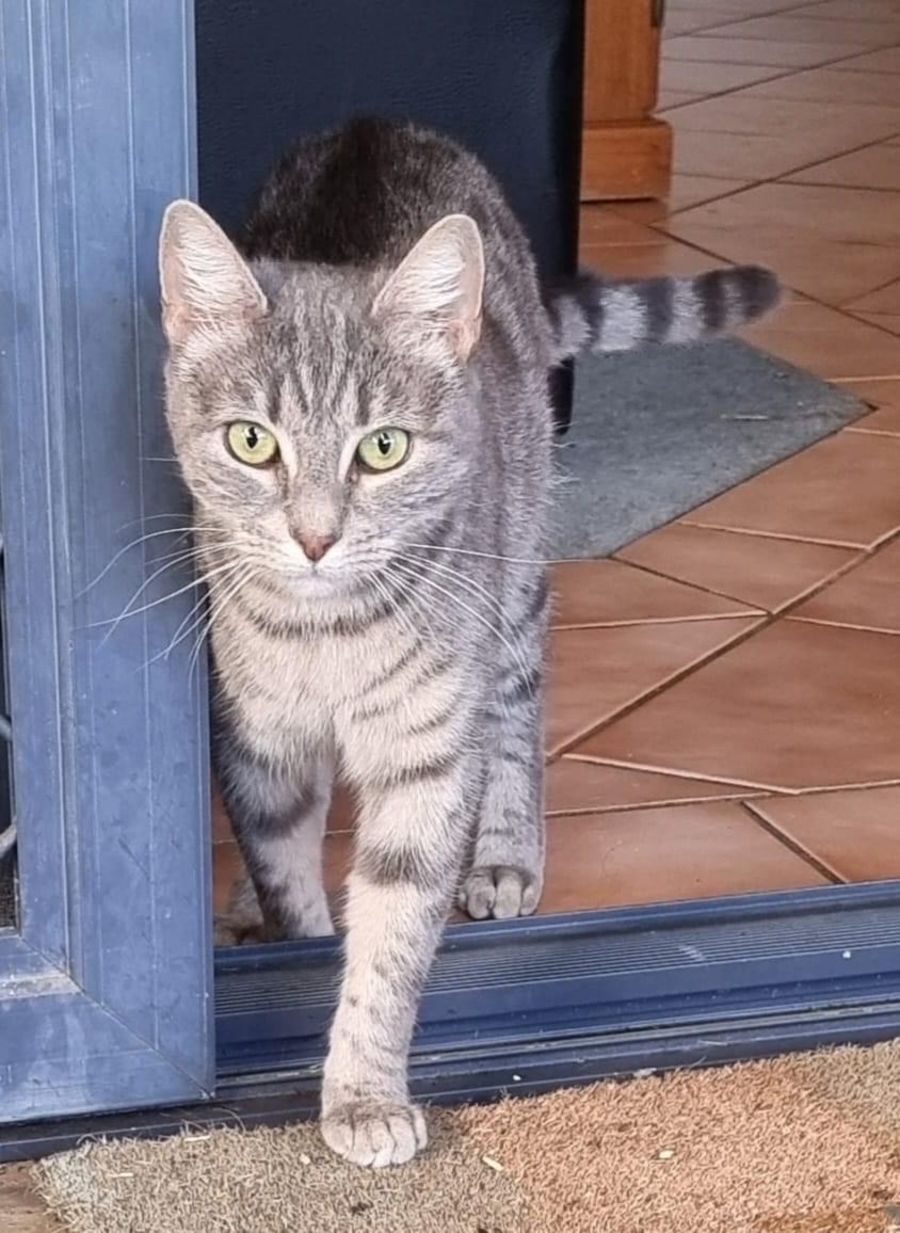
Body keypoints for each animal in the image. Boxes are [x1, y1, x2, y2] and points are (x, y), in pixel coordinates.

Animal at [158, 117, 778, 1167]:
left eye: (383, 448)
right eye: (251, 442)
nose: (315, 537)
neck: (329, 635)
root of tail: (377, 125)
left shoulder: (426, 754)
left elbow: (394, 934)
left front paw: (364, 1089)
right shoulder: (255, 747)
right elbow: (292, 884)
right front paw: (289, 939)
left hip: (514, 577)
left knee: (516, 713)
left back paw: (505, 853)